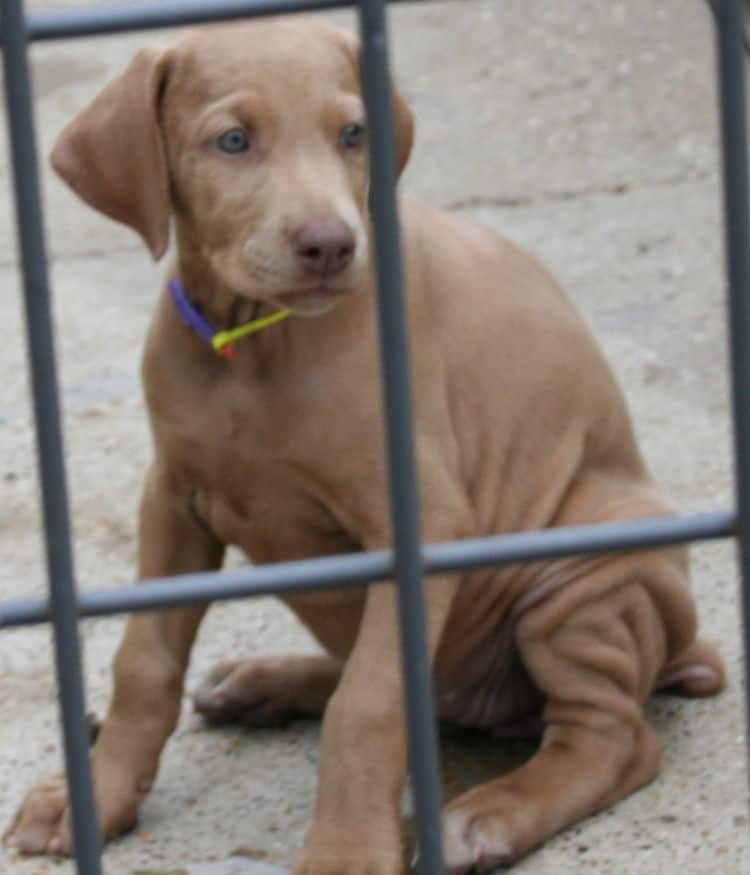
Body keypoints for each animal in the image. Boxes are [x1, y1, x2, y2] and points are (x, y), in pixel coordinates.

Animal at [2, 15, 724, 875]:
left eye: (353, 134)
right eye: (233, 140)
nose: (330, 245)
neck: (257, 343)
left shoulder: (419, 522)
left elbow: (371, 701)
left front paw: (346, 850)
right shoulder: (172, 498)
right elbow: (144, 661)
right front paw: (95, 797)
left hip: (588, 580)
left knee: (613, 738)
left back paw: (490, 813)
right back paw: (264, 681)